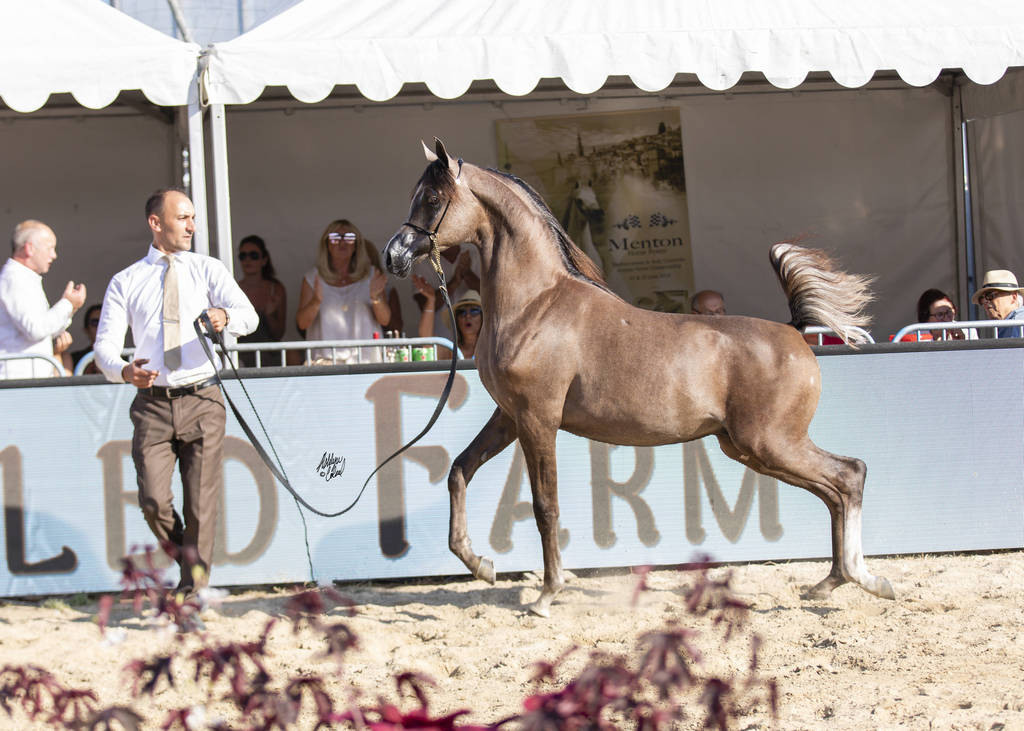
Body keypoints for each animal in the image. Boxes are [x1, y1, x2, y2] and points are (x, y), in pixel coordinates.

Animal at [385, 139, 894, 617]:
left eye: (432, 197)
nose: (394, 257)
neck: (536, 305)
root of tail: (795, 331)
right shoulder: (509, 416)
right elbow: (458, 471)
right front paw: (482, 565)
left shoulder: (537, 419)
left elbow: (545, 507)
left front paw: (547, 594)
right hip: (749, 448)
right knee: (834, 490)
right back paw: (831, 582)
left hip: (770, 443)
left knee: (849, 475)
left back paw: (865, 579)